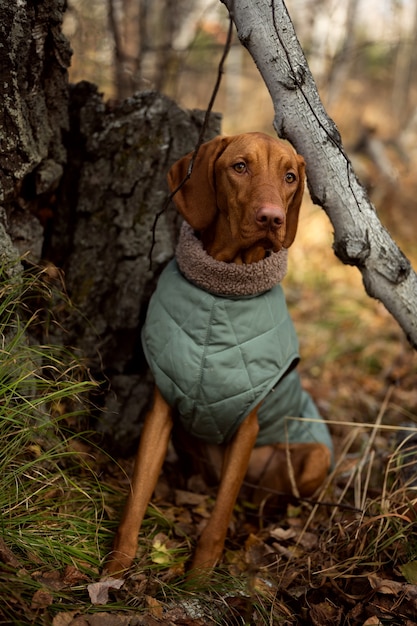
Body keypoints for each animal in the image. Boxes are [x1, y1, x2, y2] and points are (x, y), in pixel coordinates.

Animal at [105, 130, 332, 576]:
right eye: (239, 167)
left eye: (291, 177)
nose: (272, 219)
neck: (223, 293)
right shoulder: (162, 407)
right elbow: (138, 495)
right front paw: (116, 566)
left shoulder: (248, 427)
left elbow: (221, 514)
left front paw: (199, 577)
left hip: (316, 456)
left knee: (258, 498)